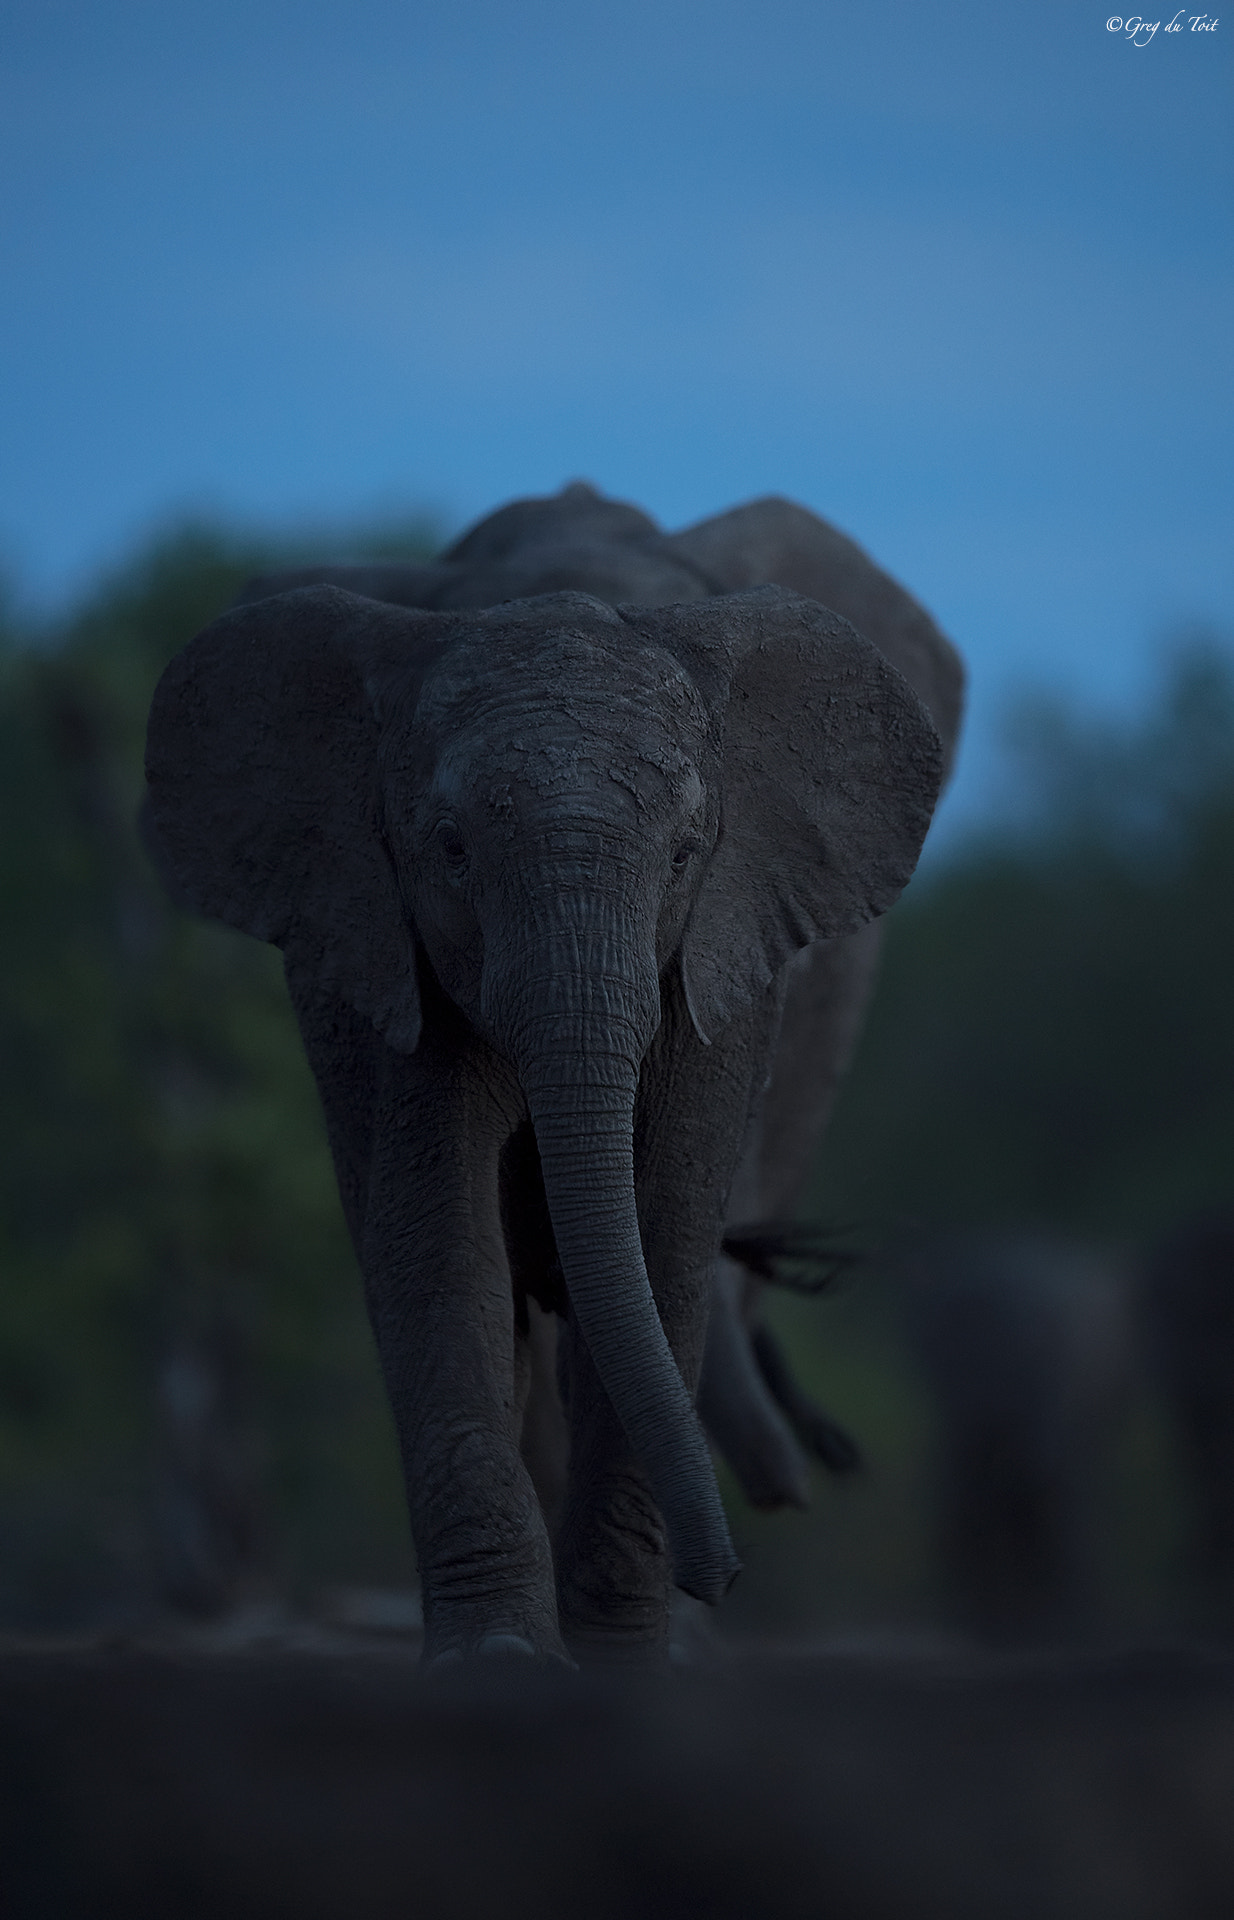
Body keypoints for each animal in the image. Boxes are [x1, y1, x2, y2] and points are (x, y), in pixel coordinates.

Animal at [144, 483, 961, 1665]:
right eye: (448, 849)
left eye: (684, 853)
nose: (729, 1569)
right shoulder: (387, 944)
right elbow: (440, 1232)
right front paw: (502, 1662)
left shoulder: (721, 952)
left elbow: (659, 1227)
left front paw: (621, 1661)